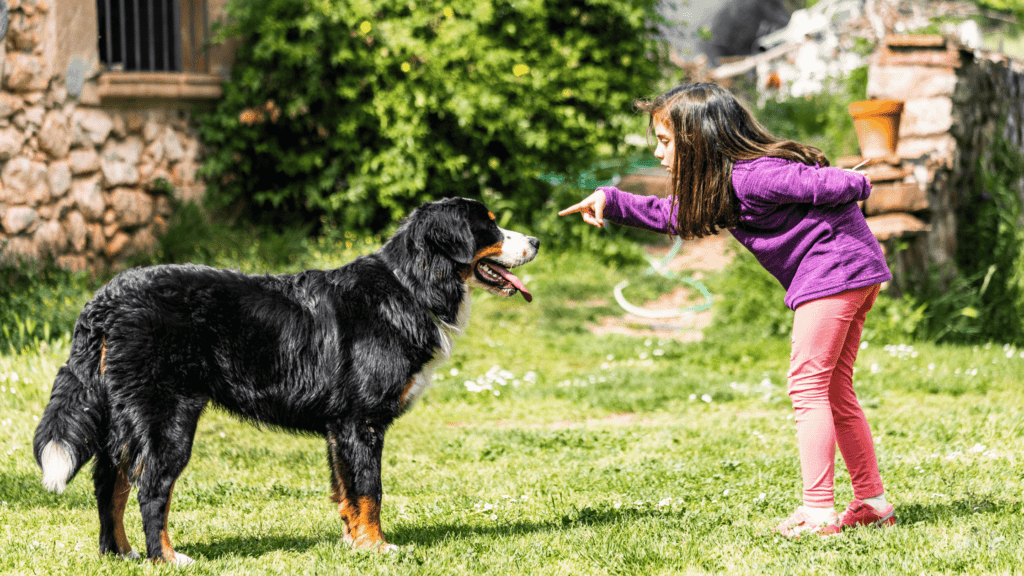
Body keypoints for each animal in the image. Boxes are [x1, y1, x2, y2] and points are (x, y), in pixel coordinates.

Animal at [33, 195, 540, 561]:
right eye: (490, 227)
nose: (535, 240)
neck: (411, 286)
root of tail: (107, 298)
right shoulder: (362, 423)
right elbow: (370, 491)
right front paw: (378, 547)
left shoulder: (340, 428)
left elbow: (348, 493)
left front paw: (354, 545)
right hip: (167, 419)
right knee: (151, 489)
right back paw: (166, 557)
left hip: (124, 417)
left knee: (109, 484)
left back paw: (119, 553)